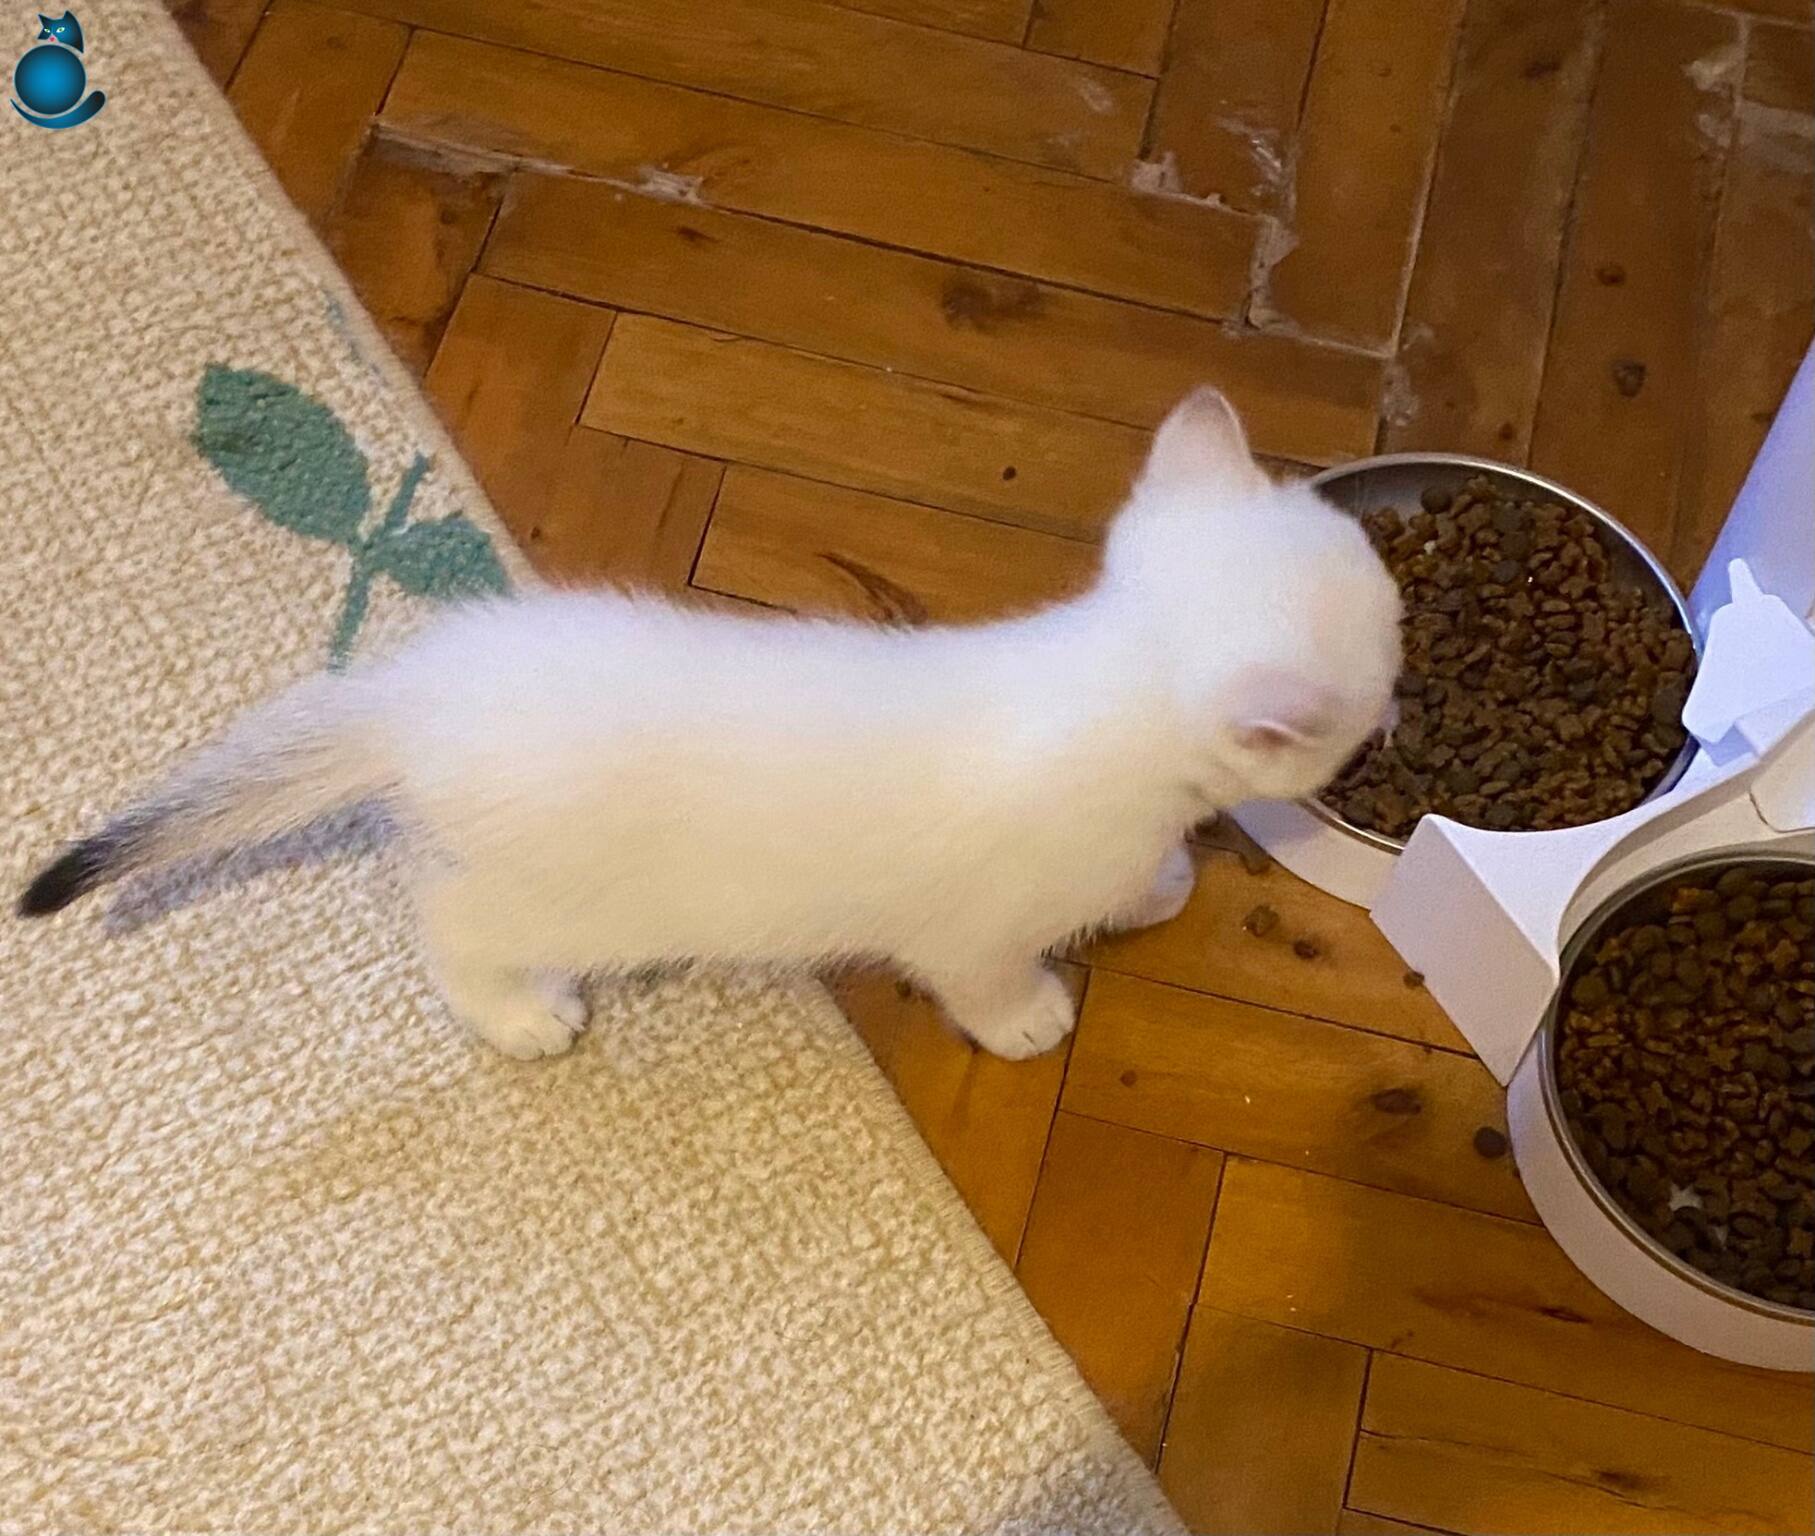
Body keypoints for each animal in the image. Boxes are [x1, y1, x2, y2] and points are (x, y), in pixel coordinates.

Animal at [18, 388, 1402, 1061]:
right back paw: (520, 1016)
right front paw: (1032, 1019)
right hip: (549, 898)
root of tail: (423, 682)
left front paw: (1160, 883)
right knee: (447, 927)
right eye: (1385, 679)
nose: (1398, 710)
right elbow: (988, 979)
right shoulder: (965, 932)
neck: (1097, 693)